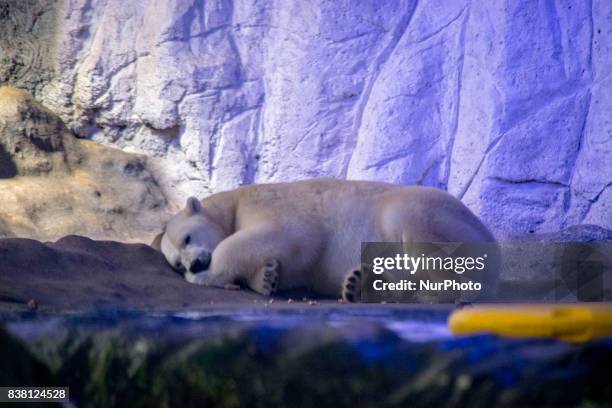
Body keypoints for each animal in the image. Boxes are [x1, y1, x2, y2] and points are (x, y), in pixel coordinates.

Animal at [153, 179, 498, 302]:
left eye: (187, 237)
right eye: (176, 262)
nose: (195, 264)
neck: (232, 202)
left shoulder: (268, 203)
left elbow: (286, 233)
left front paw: (209, 276)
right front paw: (266, 277)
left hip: (431, 214)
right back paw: (359, 284)